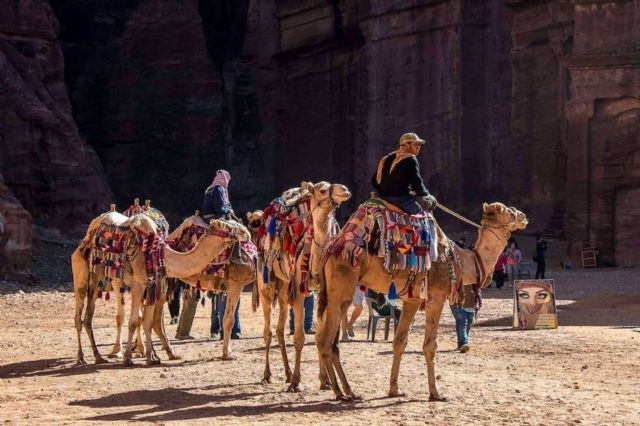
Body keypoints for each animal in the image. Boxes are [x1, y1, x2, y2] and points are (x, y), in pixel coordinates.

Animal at [72, 211, 248, 364]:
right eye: (228, 227)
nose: (246, 233)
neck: (160, 253)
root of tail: (89, 232)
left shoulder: (152, 285)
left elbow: (147, 321)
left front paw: (152, 357)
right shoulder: (139, 283)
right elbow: (135, 321)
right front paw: (129, 358)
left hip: (97, 279)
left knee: (88, 317)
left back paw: (98, 356)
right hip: (81, 271)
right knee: (79, 316)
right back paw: (82, 357)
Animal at [258, 181, 352, 392]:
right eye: (322, 190)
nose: (344, 189)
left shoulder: (321, 292)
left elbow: (318, 336)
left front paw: (324, 380)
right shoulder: (300, 294)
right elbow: (300, 337)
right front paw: (296, 382)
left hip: (284, 288)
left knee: (279, 329)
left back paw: (286, 373)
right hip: (265, 284)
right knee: (268, 331)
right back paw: (268, 374)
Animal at [316, 201, 528, 402]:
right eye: (508, 211)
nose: (523, 216)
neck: (462, 260)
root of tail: (329, 251)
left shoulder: (412, 299)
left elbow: (399, 341)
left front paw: (394, 389)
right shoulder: (436, 296)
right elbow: (430, 345)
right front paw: (435, 393)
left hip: (331, 295)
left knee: (327, 341)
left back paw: (349, 391)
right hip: (342, 288)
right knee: (326, 341)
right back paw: (339, 392)